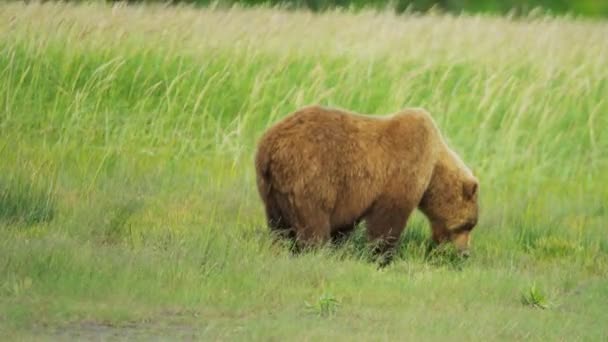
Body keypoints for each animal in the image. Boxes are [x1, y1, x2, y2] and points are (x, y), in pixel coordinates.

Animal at [254, 105, 478, 264]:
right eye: (466, 225)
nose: (465, 253)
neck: (433, 169)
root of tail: (269, 145)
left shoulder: (350, 196)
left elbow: (345, 223)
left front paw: (342, 246)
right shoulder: (401, 171)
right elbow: (388, 219)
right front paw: (381, 256)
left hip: (272, 189)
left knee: (278, 225)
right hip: (310, 174)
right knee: (312, 220)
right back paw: (316, 251)